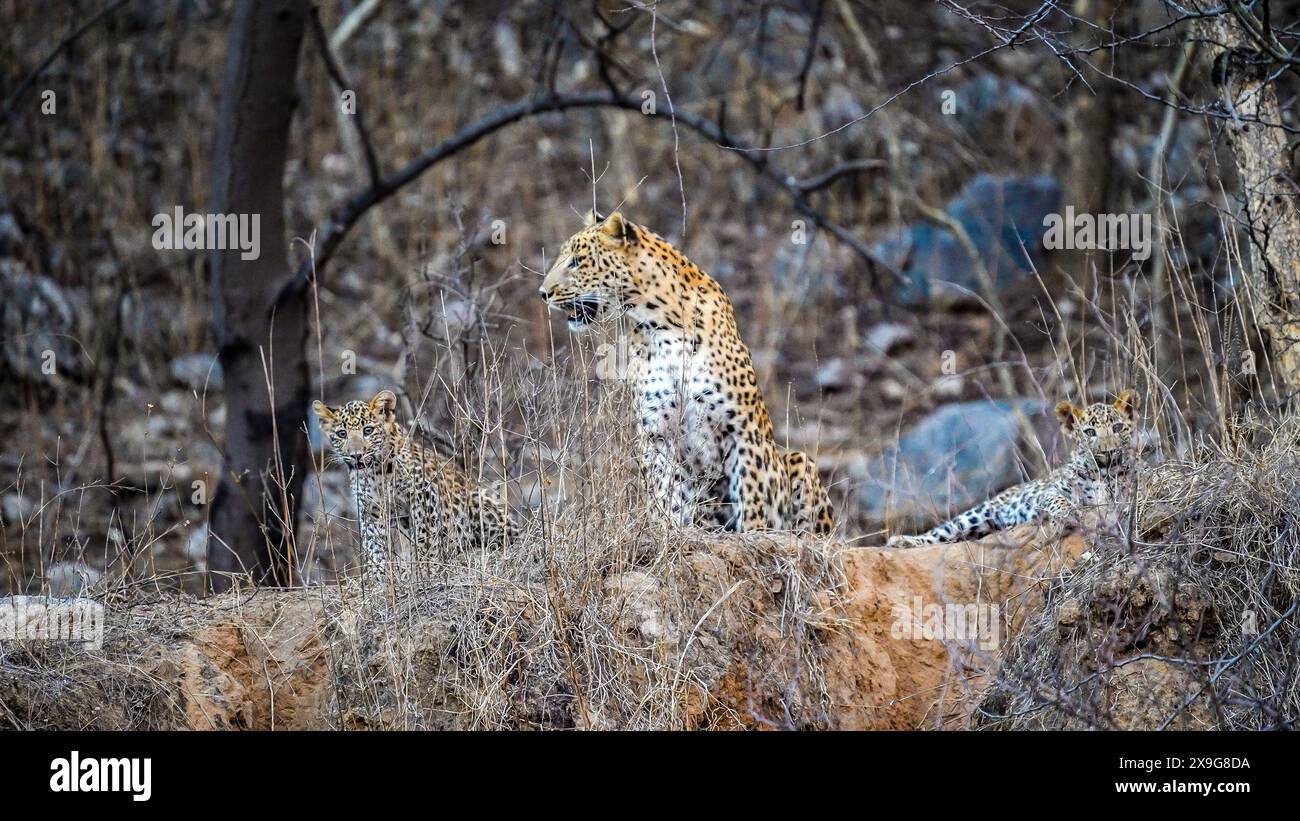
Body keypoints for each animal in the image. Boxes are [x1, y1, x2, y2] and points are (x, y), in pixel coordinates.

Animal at [312, 389, 514, 576]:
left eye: (368, 431)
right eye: (342, 434)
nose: (356, 455)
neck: (374, 473)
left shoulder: (423, 493)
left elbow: (426, 535)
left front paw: (426, 569)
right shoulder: (370, 509)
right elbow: (373, 544)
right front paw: (378, 577)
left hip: (480, 503)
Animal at [538, 207, 832, 535]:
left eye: (577, 261)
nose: (543, 293)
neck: (660, 325)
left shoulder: (744, 430)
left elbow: (752, 495)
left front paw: (753, 533)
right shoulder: (656, 433)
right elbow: (665, 494)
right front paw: (667, 531)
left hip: (799, 461)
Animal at [883, 389, 1138, 548]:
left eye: (1117, 427)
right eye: (1090, 432)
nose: (1108, 450)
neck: (1101, 471)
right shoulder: (1049, 491)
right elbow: (1057, 499)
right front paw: (1064, 516)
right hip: (979, 512)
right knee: (942, 532)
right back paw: (902, 541)